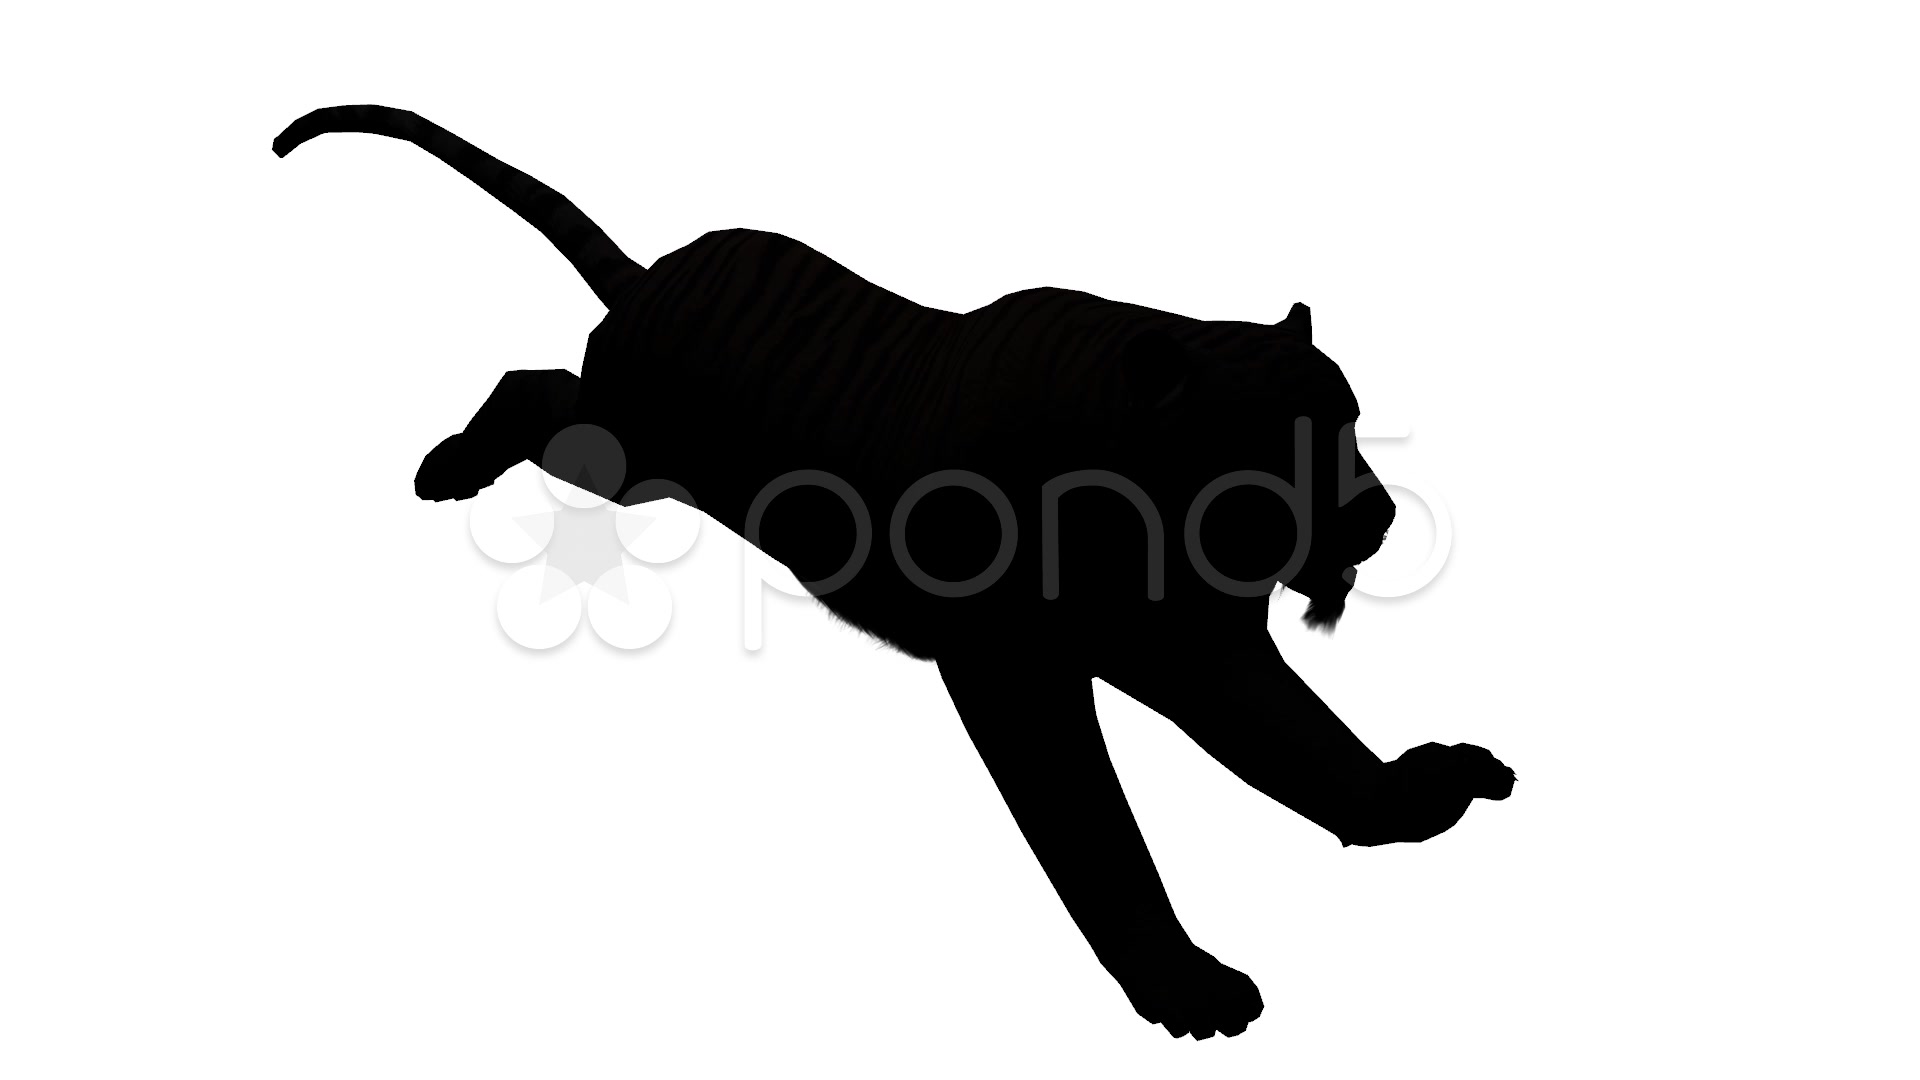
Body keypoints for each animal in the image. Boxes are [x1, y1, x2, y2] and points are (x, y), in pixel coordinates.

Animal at [275, 104, 1515, 1041]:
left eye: (1347, 420)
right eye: (1270, 442)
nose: (1373, 514)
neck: (1164, 518)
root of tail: (648, 275)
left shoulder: (1202, 648)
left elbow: (1306, 743)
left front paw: (1414, 796)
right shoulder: (1019, 673)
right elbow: (1100, 832)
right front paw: (1185, 984)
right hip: (622, 453)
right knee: (530, 384)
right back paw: (446, 467)